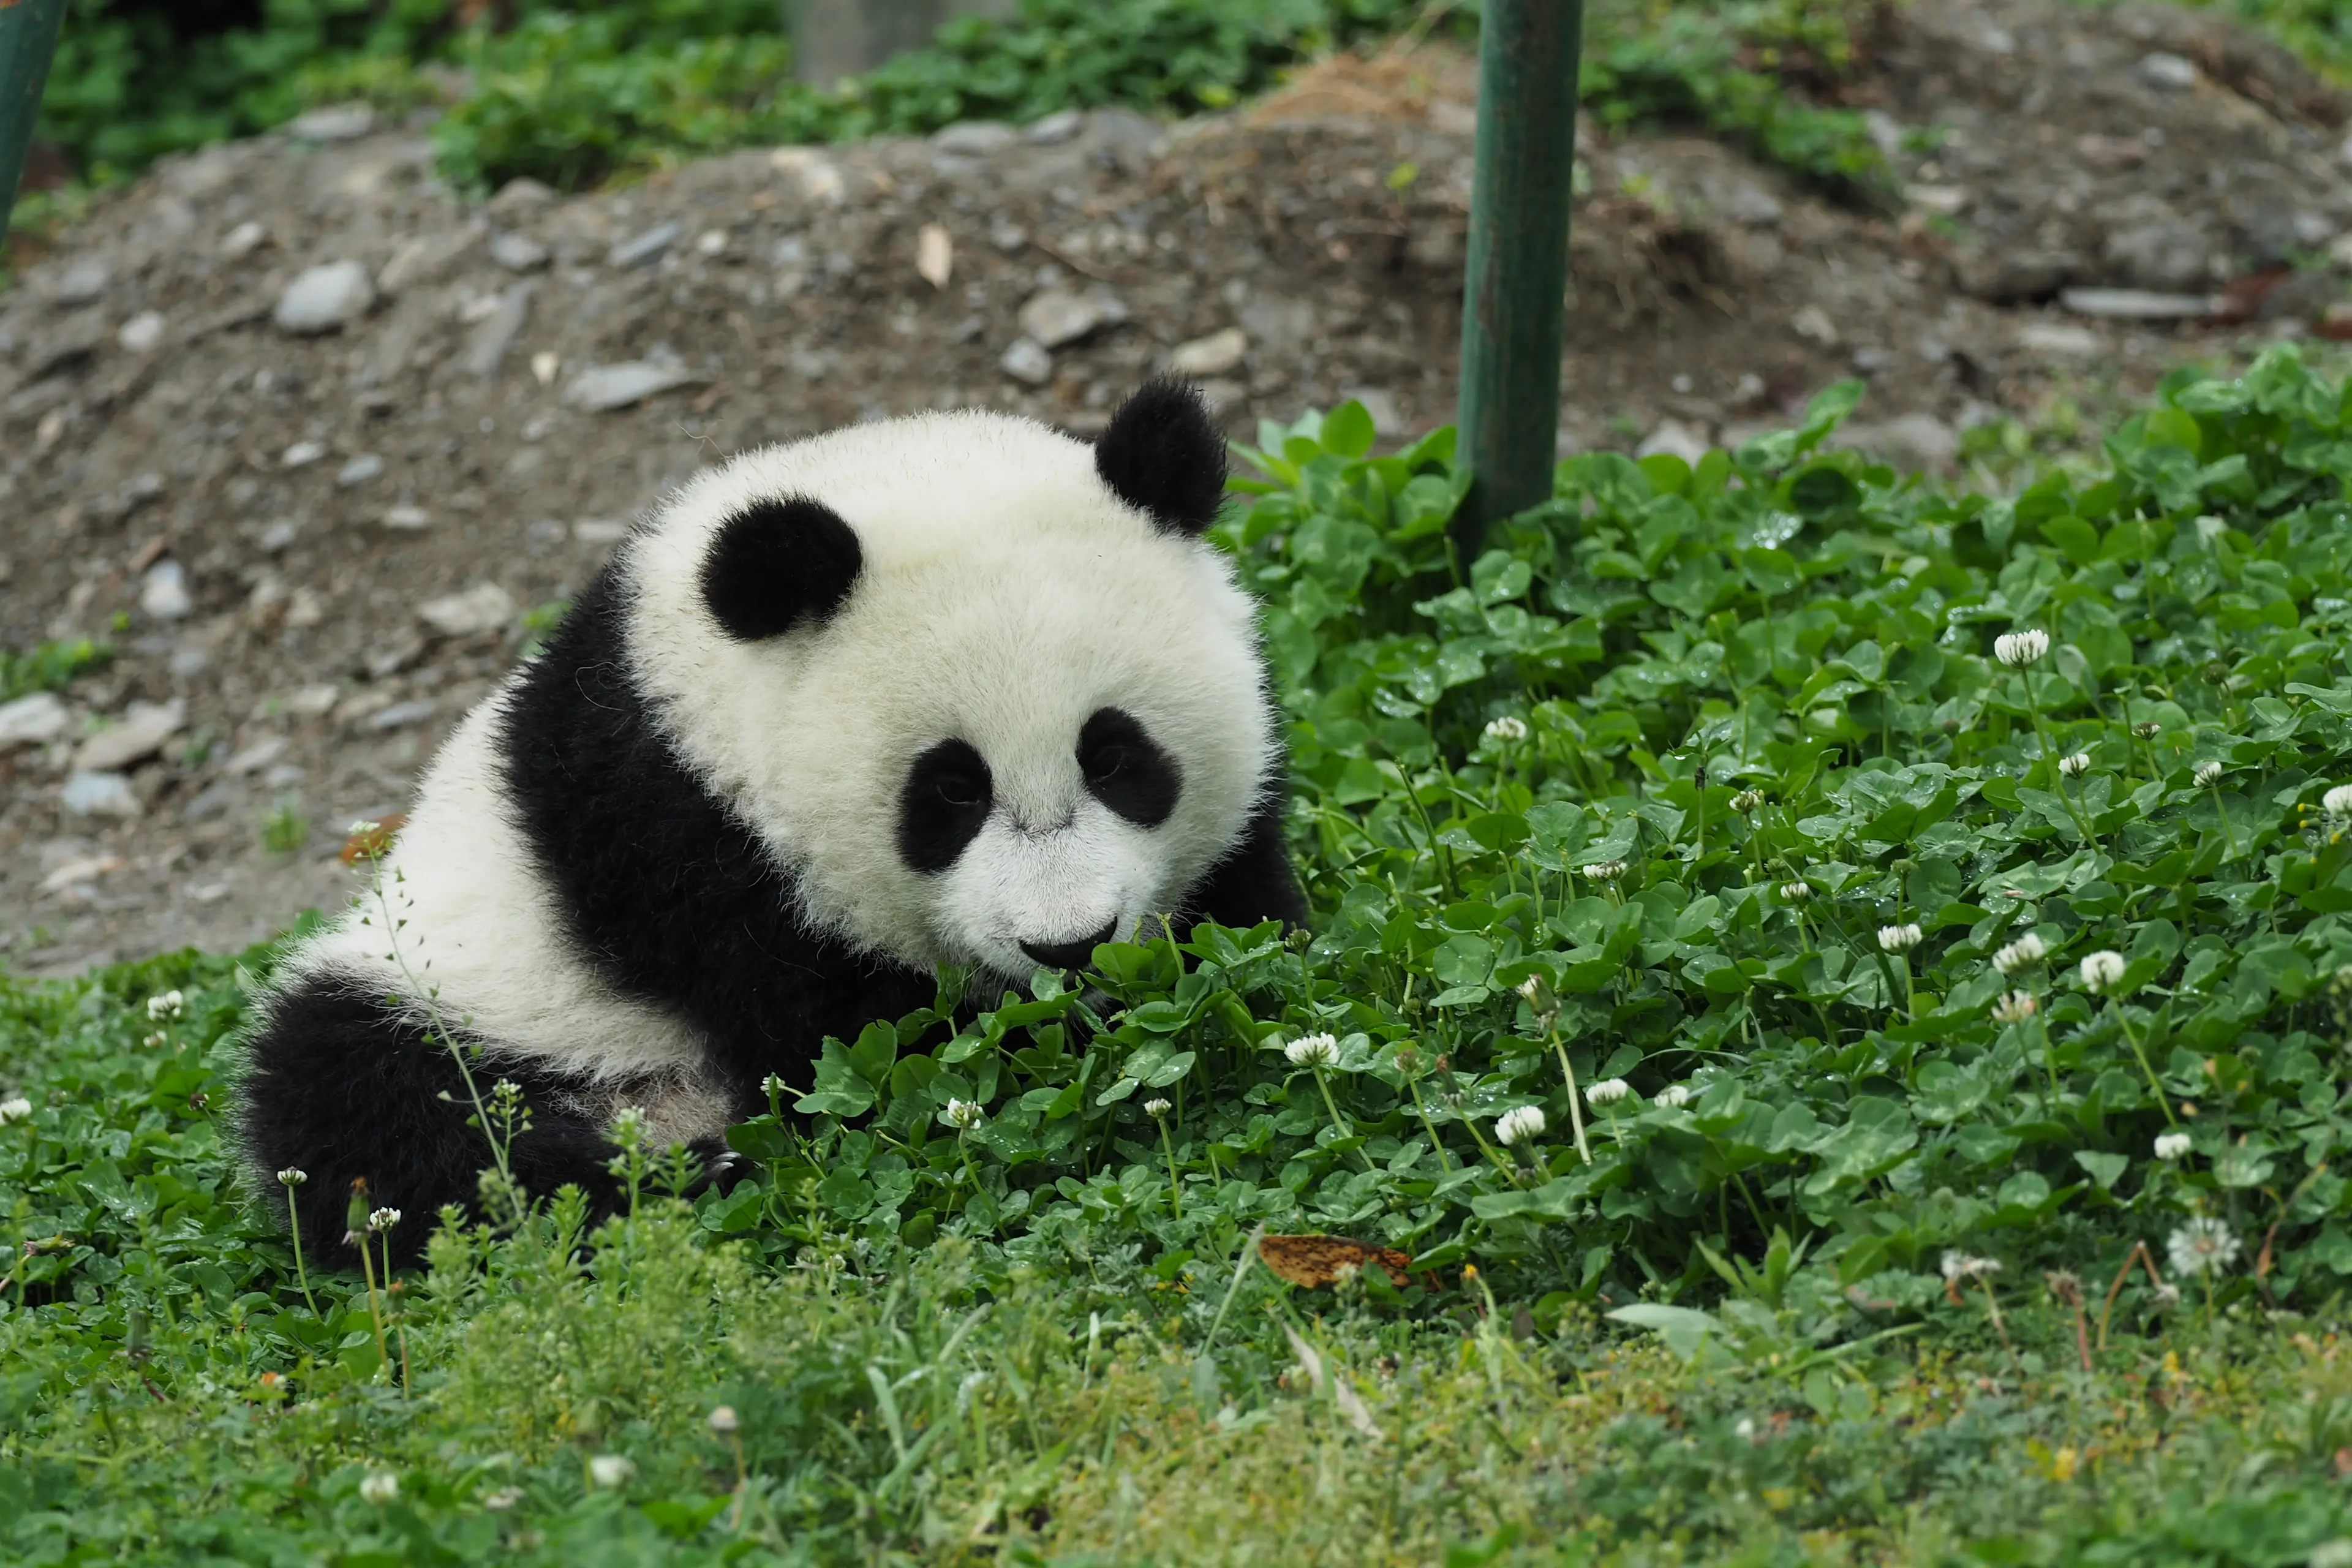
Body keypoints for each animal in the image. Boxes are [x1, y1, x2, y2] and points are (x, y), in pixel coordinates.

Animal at [235, 381, 1305, 1265]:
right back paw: (664, 1178)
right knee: (371, 1105)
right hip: (464, 988)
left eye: (1114, 758)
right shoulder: (681, 847)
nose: (1069, 946)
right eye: (949, 793)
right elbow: (860, 1038)